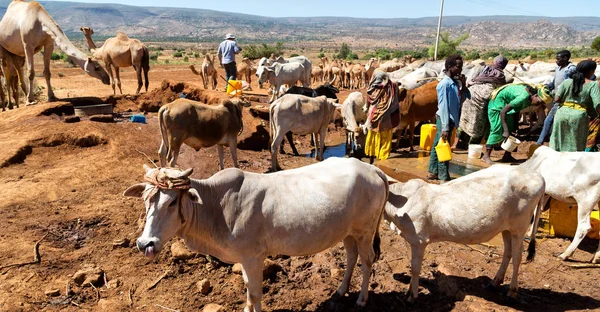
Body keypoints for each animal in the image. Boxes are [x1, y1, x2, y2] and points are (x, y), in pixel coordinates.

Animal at [126, 158, 390, 312]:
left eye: (171, 202)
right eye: (145, 200)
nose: (145, 243)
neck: (215, 206)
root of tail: (372, 168)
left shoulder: (253, 257)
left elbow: (255, 293)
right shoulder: (245, 259)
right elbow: (248, 291)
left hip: (365, 231)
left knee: (367, 260)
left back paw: (362, 299)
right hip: (349, 232)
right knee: (352, 257)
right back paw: (341, 291)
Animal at [386, 166, 548, 302]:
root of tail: (537, 175)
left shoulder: (419, 240)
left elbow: (415, 268)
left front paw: (412, 296)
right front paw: (409, 290)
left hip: (519, 228)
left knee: (517, 256)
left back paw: (512, 291)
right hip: (506, 229)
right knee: (508, 252)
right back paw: (494, 283)